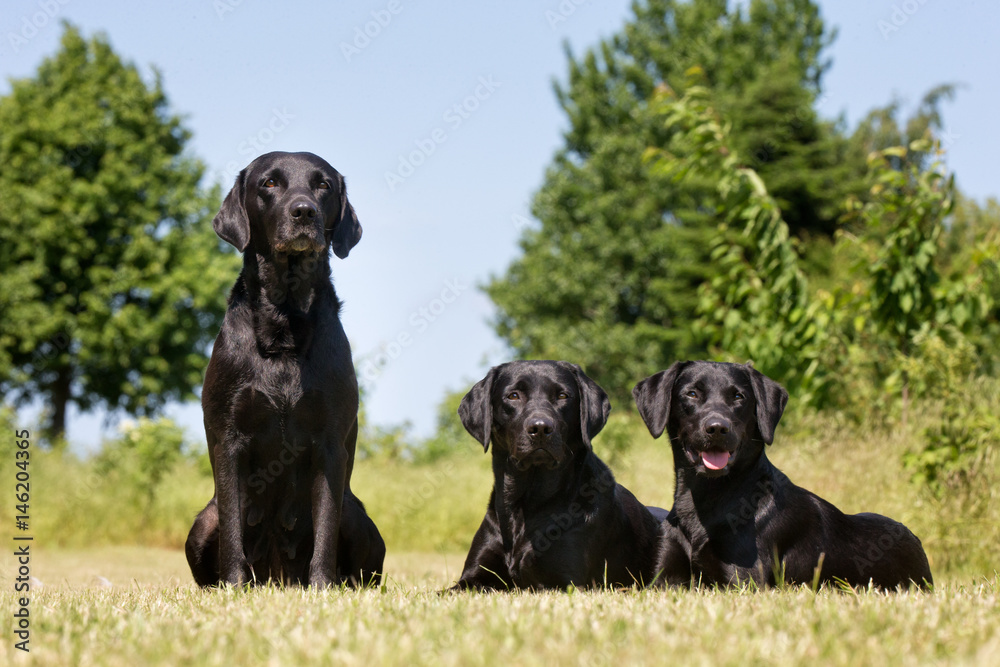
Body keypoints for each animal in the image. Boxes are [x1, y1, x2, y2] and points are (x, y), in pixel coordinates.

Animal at [184, 153, 382, 588]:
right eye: (270, 183)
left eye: (323, 185)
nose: (304, 211)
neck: (285, 324)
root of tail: (277, 574)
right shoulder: (230, 439)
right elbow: (233, 528)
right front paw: (234, 586)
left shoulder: (330, 443)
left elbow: (325, 527)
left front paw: (322, 587)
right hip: (201, 525)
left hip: (360, 519)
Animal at [454, 360, 664, 588]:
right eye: (513, 395)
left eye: (563, 396)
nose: (540, 428)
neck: (527, 502)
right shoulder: (471, 578)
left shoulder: (565, 581)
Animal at [628, 360, 932, 588]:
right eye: (692, 394)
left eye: (738, 396)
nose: (717, 428)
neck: (707, 499)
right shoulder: (664, 579)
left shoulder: (743, 580)